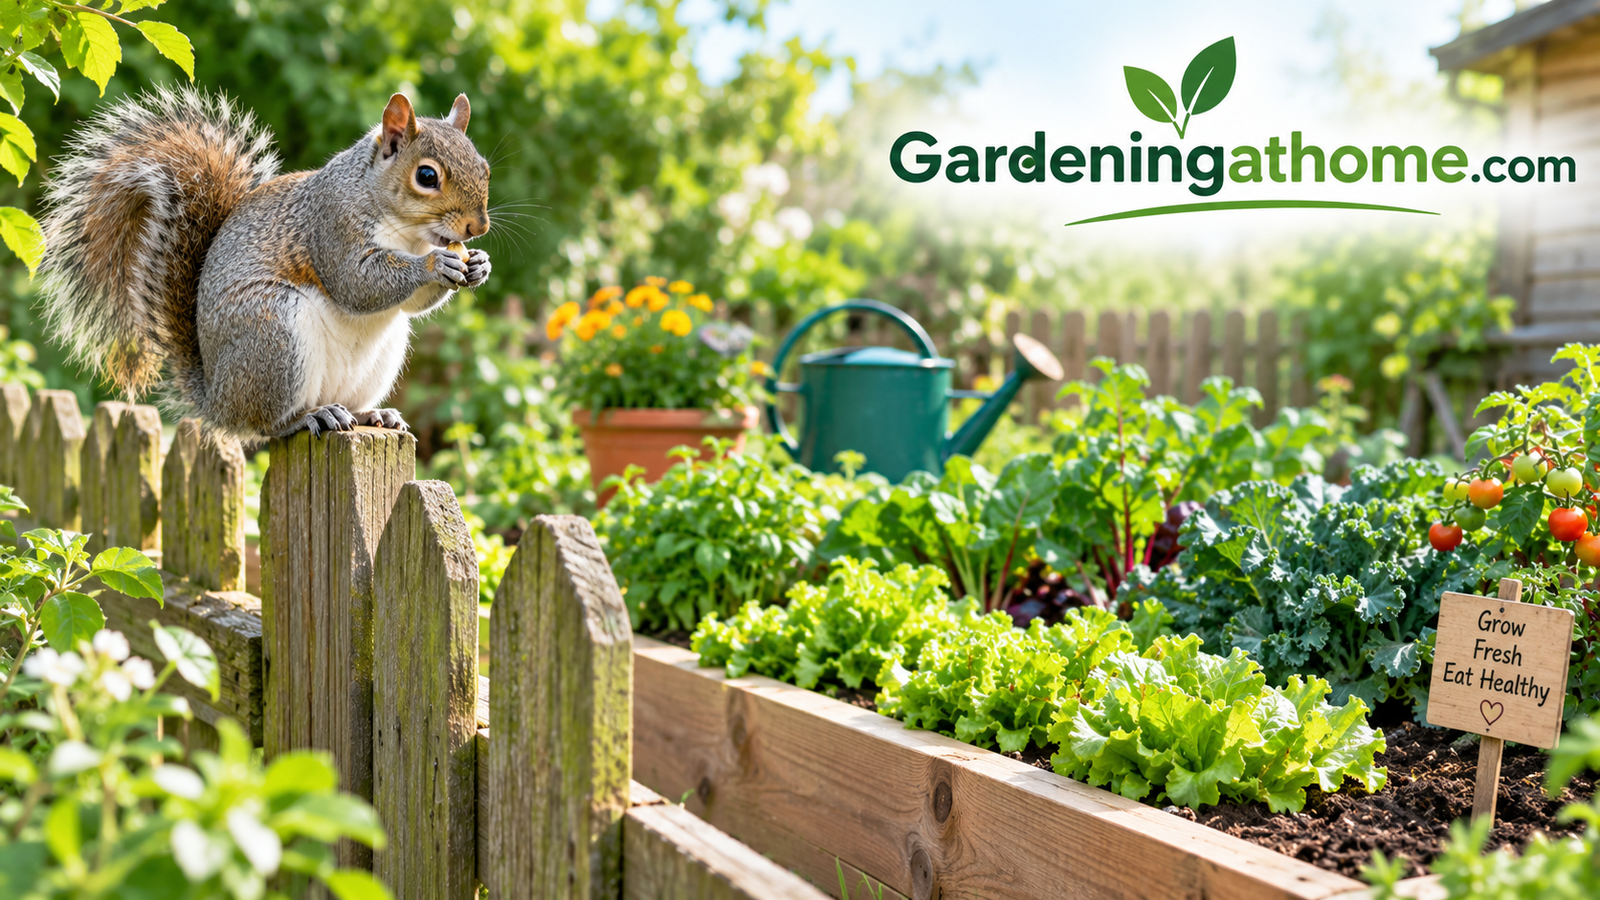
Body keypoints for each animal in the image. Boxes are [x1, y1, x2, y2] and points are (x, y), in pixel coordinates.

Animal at [37, 87, 492, 439]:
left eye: (484, 167)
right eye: (427, 177)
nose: (478, 227)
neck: (407, 234)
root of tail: (217, 400)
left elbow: (411, 303)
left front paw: (479, 265)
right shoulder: (332, 226)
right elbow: (355, 282)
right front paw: (433, 265)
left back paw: (371, 413)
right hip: (273, 334)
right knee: (264, 426)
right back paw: (307, 417)